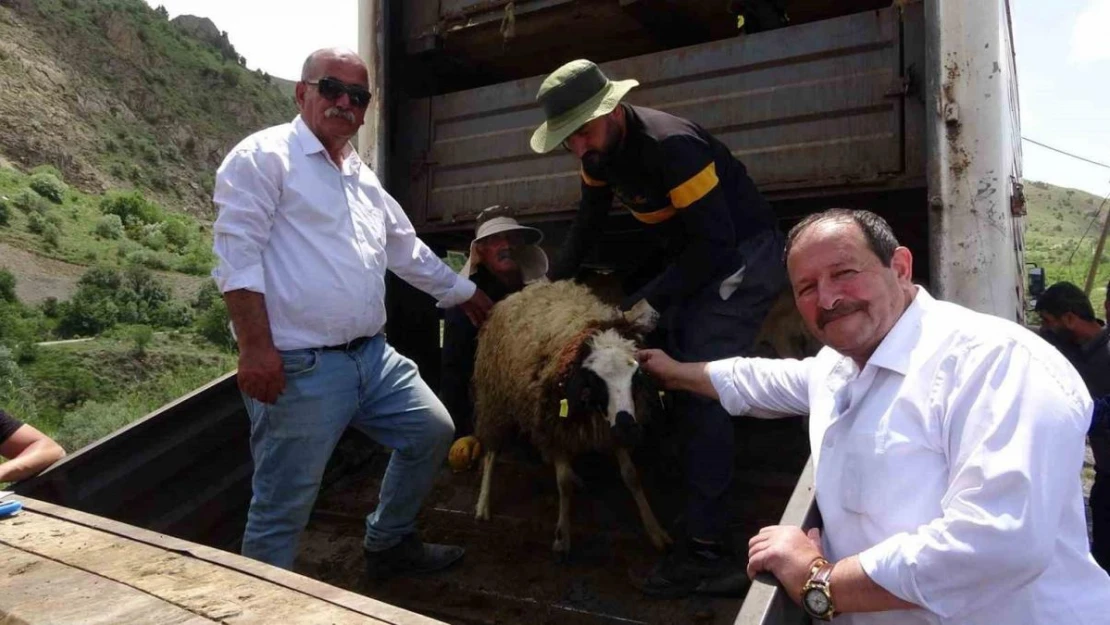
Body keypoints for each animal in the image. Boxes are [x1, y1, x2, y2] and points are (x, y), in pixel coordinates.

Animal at [472, 280, 670, 559]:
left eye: (637, 375)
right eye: (596, 380)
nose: (628, 429)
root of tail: (526, 289)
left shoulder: (607, 429)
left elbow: (631, 476)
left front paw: (655, 531)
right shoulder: (556, 426)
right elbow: (562, 484)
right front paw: (562, 536)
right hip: (495, 397)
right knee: (492, 450)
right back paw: (483, 503)